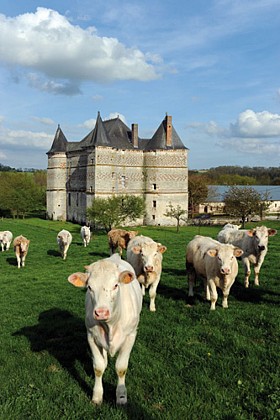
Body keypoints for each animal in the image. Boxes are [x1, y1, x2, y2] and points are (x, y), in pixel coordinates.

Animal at [67, 254, 142, 406]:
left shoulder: (131, 336)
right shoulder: (91, 336)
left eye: (116, 285)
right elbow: (98, 367)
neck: (111, 325)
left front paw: (121, 396)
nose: (101, 312)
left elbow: (121, 368)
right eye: (89, 287)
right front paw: (97, 396)